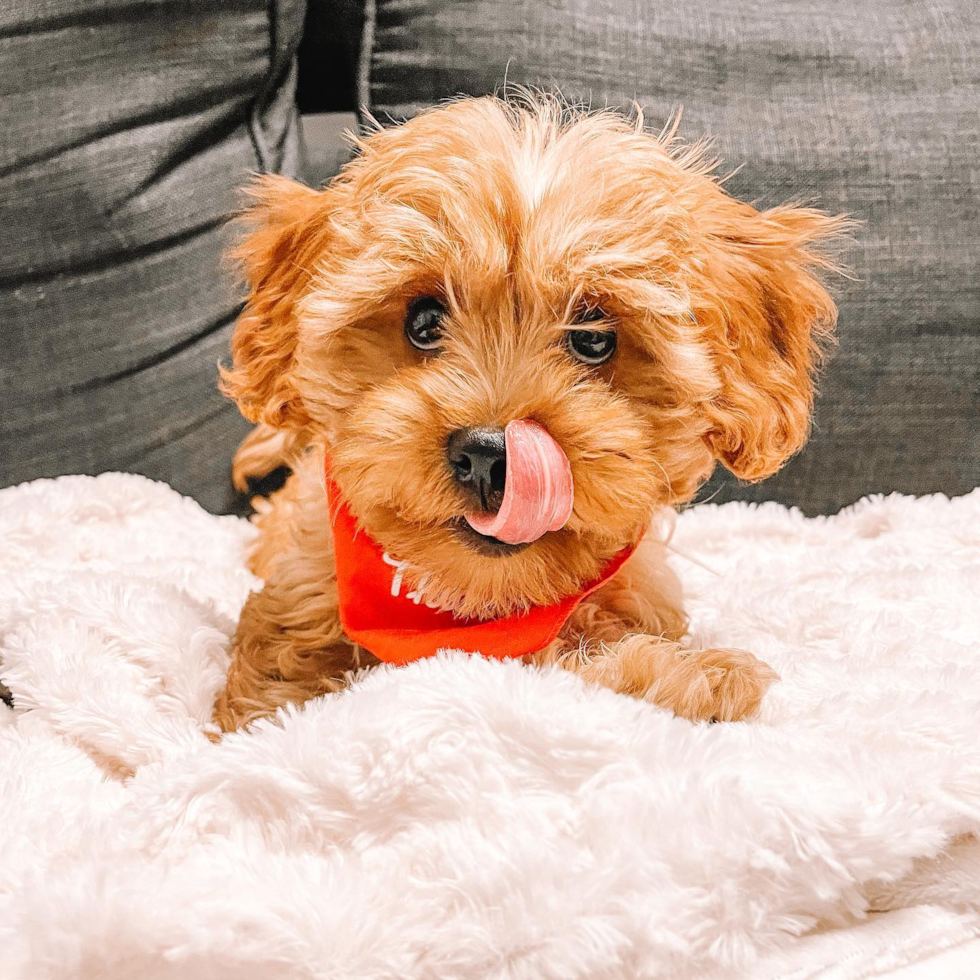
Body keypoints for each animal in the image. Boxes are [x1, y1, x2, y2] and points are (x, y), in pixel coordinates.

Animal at [214, 95, 844, 732]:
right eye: (423, 322)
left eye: (593, 339)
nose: (488, 455)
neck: (473, 612)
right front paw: (696, 681)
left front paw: (692, 679)